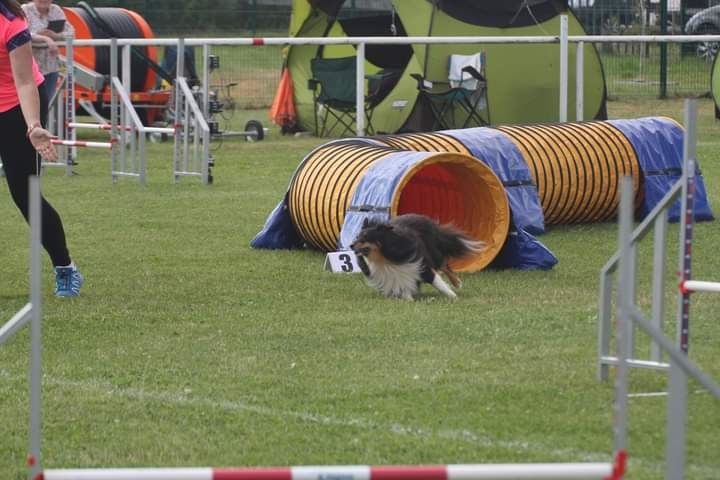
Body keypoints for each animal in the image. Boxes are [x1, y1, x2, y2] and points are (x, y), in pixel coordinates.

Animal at [348, 214, 484, 300]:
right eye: (357, 237)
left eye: (365, 237)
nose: (351, 245)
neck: (384, 258)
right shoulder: (391, 275)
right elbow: (401, 286)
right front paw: (408, 299)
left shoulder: (419, 265)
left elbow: (437, 281)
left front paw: (453, 297)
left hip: (433, 254)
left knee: (444, 264)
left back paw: (457, 283)